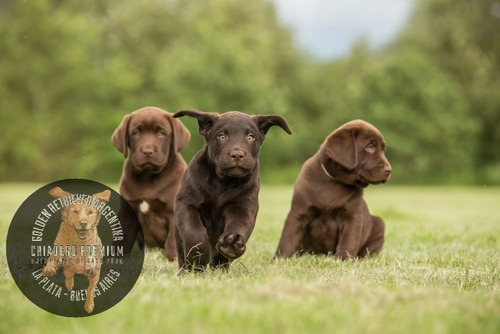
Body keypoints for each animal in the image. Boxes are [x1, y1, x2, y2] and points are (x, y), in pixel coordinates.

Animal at [112, 105, 190, 260]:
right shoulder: (127, 212)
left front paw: (172, 258)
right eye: (136, 132)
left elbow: (172, 239)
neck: (147, 177)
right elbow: (122, 236)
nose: (147, 151)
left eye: (161, 133)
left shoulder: (172, 210)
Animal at [174, 109, 292, 272]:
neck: (222, 181)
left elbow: (239, 225)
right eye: (222, 136)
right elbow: (193, 231)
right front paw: (198, 258)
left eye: (250, 137)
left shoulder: (242, 207)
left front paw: (230, 245)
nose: (237, 155)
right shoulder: (186, 203)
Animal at [276, 120, 392, 260]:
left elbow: (348, 241)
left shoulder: (352, 216)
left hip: (379, 225)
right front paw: (279, 259)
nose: (389, 170)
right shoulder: (299, 212)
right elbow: (287, 238)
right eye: (369, 147)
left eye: (383, 150)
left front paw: (344, 260)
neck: (334, 182)